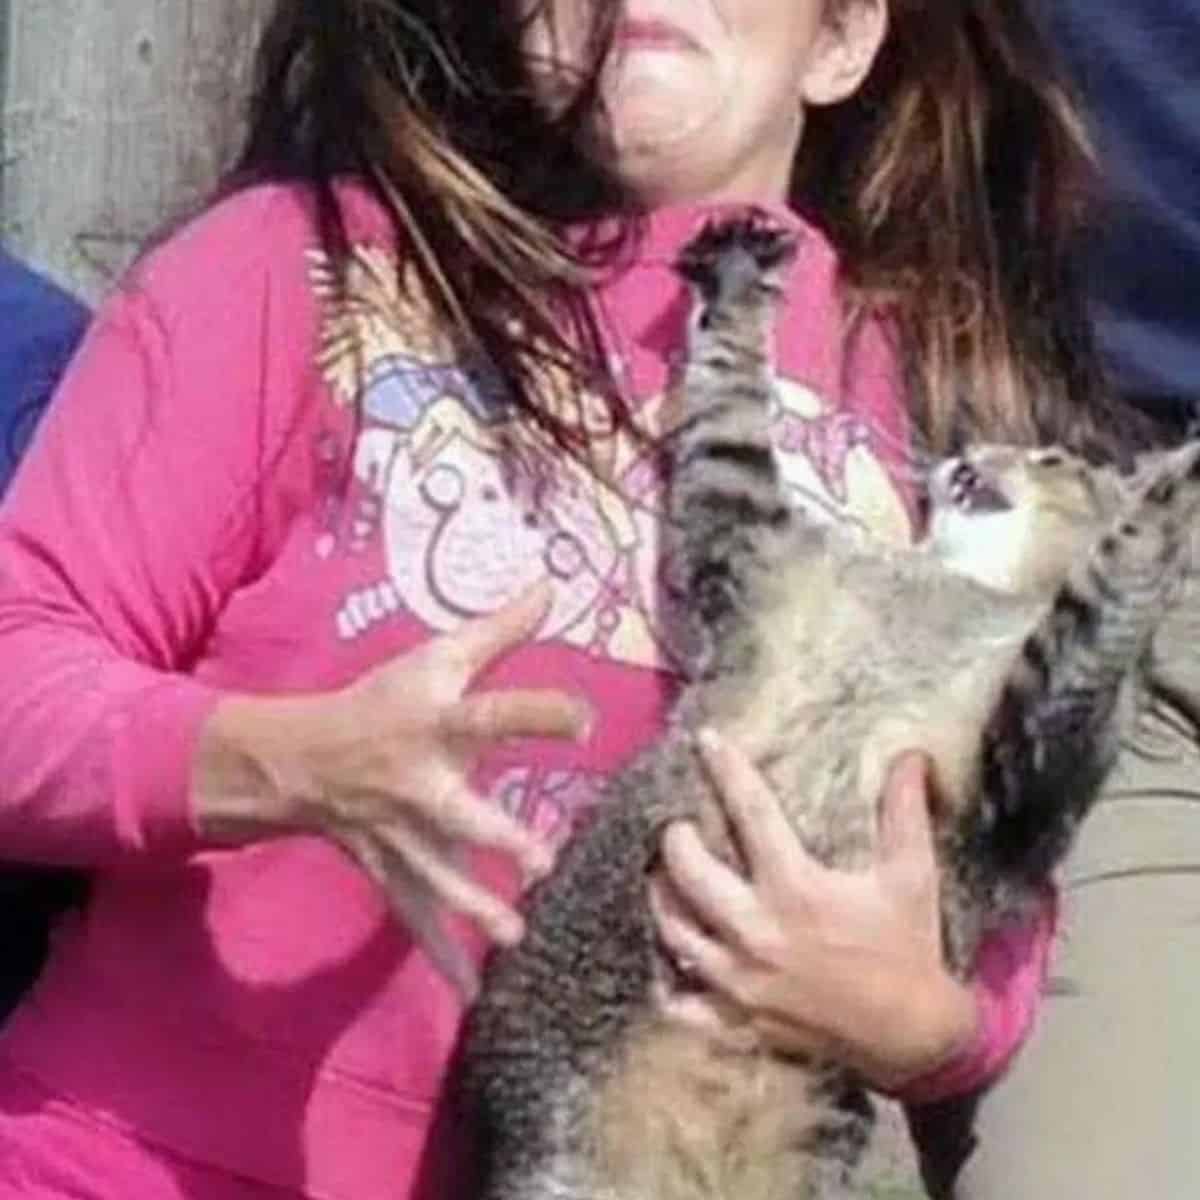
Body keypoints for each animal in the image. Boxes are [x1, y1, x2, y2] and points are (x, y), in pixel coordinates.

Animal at [458, 216, 1200, 1200]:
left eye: (1050, 457)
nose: (970, 454)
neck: (954, 585)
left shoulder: (1029, 758)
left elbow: (1091, 611)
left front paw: (1165, 500)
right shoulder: (754, 541)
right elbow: (728, 407)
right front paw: (739, 277)